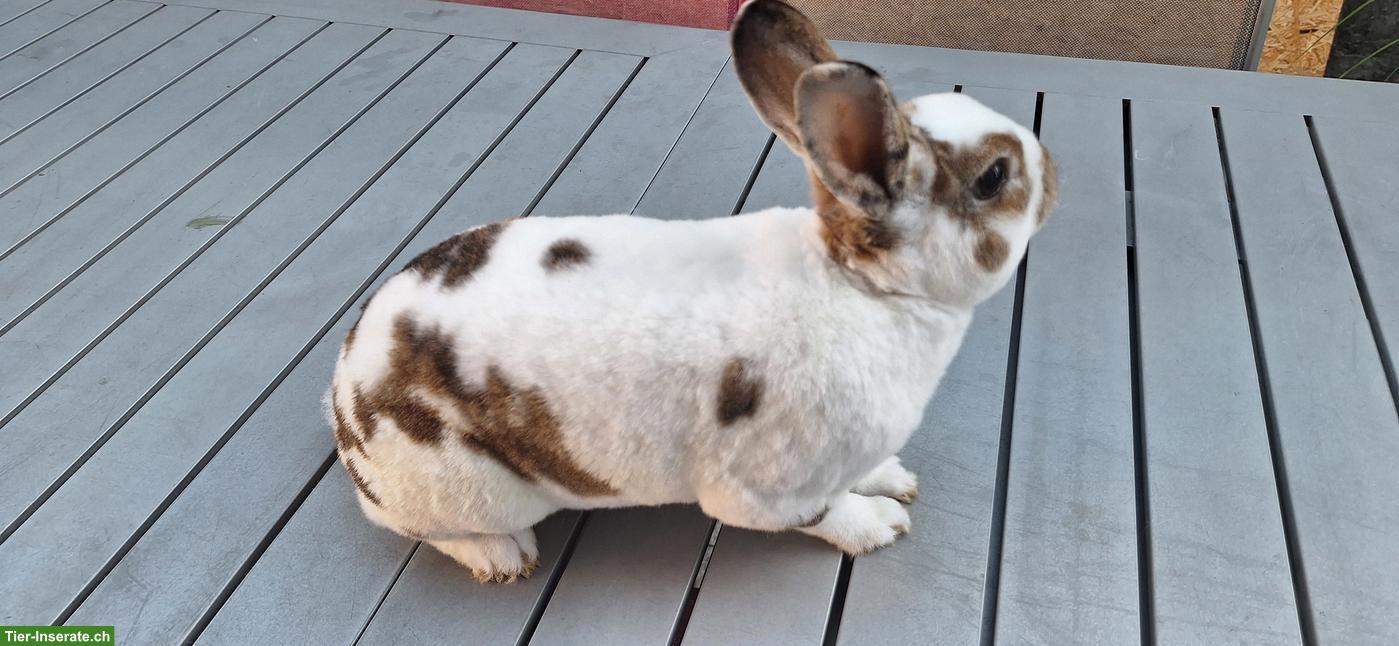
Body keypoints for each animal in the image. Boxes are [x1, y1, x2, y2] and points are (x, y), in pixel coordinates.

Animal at [325, 0, 1057, 583]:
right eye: (994, 177)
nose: (1051, 171)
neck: (863, 287)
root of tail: (343, 394)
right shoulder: (772, 486)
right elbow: (827, 513)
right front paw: (879, 525)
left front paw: (893, 479)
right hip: (462, 493)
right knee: (432, 532)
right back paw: (503, 557)